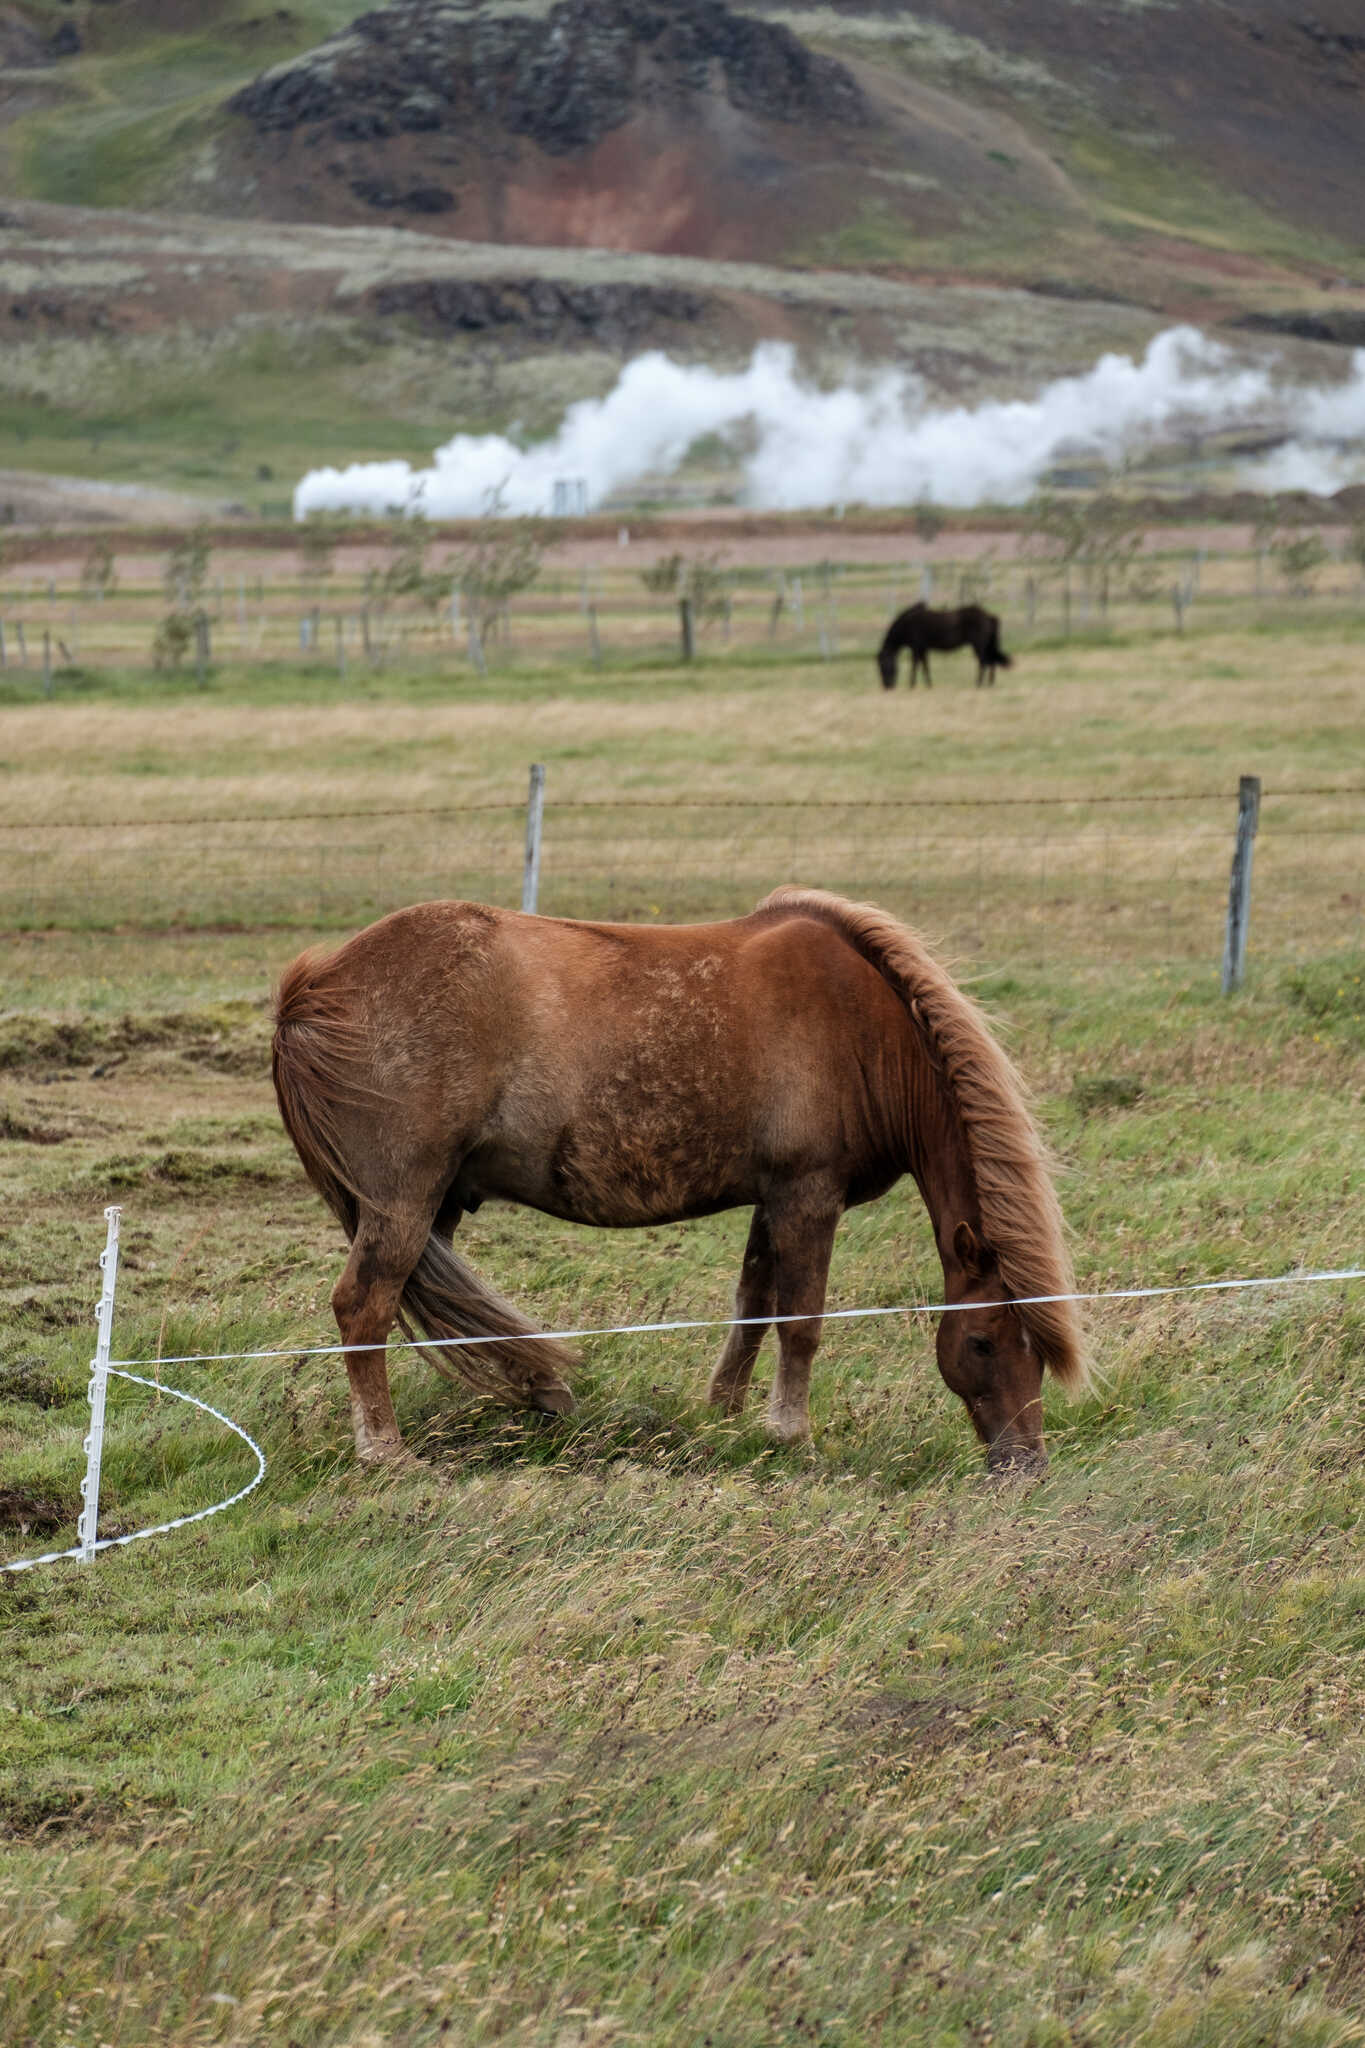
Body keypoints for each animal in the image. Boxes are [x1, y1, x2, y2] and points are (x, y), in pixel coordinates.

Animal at [274, 888, 1088, 1482]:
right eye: (981, 1342)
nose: (1024, 1464)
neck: (859, 1025)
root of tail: (318, 985)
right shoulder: (808, 1197)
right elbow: (800, 1321)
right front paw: (791, 1435)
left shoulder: (773, 1200)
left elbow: (753, 1308)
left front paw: (725, 1417)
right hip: (404, 1199)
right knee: (365, 1306)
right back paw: (385, 1451)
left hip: (437, 1204)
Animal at [875, 602, 1015, 692]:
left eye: (883, 666)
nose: (887, 687)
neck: (907, 624)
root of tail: (989, 616)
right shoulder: (923, 649)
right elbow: (925, 667)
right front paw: (929, 685)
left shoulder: (916, 648)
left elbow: (915, 666)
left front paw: (912, 686)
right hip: (984, 646)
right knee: (990, 662)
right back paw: (989, 684)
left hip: (978, 645)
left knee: (984, 662)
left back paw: (978, 684)